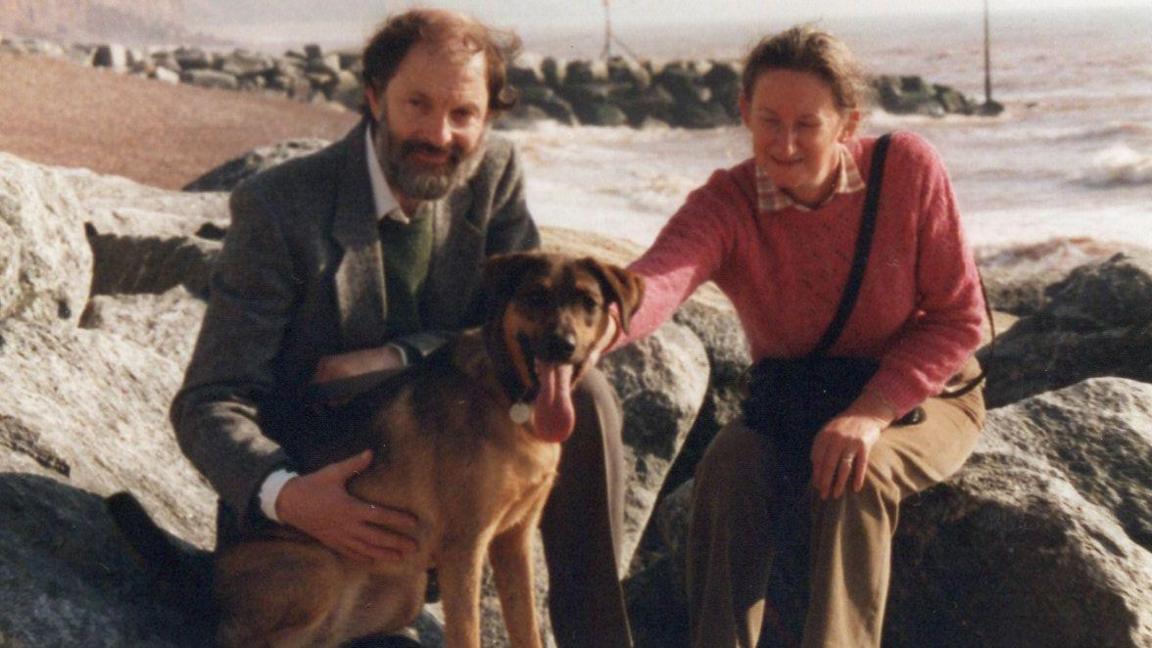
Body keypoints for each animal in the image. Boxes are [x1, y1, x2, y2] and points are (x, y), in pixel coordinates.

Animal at [110, 252, 640, 645]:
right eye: (534, 297)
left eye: (589, 302)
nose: (561, 345)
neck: (511, 397)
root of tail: (208, 580)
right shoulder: (465, 546)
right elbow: (467, 634)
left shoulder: (513, 540)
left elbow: (526, 629)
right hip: (319, 568)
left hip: (401, 587)